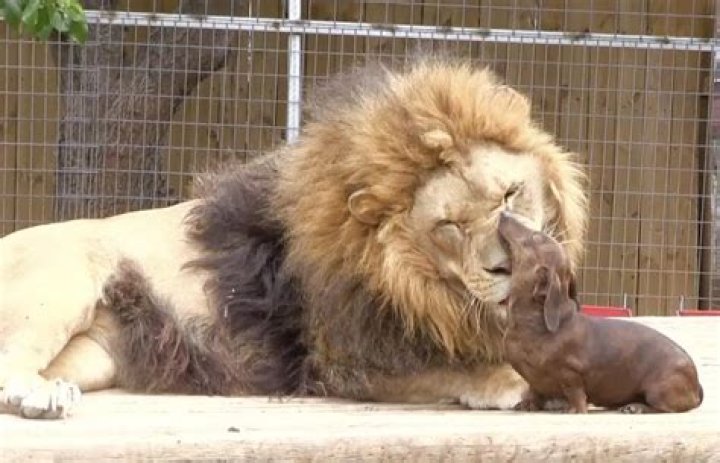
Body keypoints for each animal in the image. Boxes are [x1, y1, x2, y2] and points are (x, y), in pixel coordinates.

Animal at [0, 57, 587, 419]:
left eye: (510, 194)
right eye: (450, 227)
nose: (507, 266)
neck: (424, 287)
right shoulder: (341, 360)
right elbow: (451, 369)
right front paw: (513, 382)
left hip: (95, 354)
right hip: (61, 281)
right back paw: (41, 397)